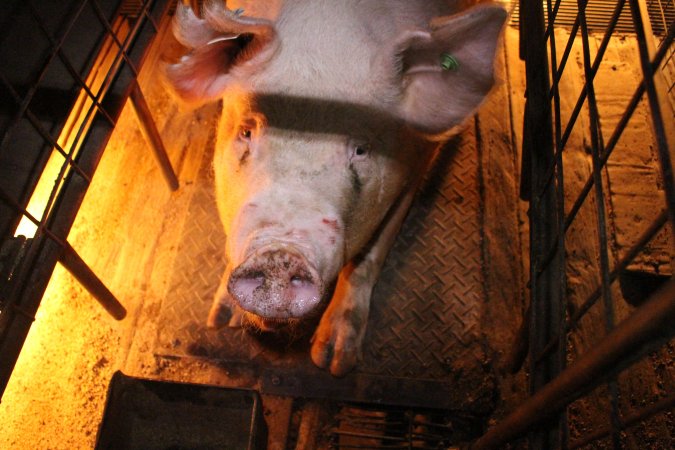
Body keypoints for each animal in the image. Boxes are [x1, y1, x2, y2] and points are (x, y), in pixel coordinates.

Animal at [168, 0, 508, 376]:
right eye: (246, 132)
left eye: (360, 149)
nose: (279, 256)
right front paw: (220, 320)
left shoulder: (416, 158)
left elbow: (369, 254)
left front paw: (333, 361)